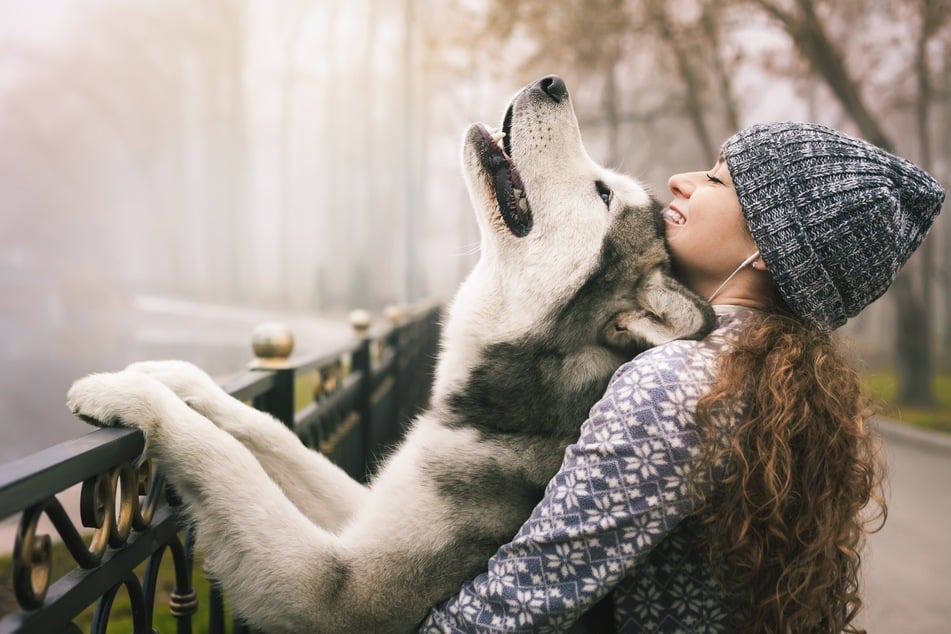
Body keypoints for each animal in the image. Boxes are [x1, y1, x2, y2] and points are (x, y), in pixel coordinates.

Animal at [69, 76, 712, 628]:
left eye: (602, 193)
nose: (554, 82)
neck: (516, 411)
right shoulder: (367, 507)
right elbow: (268, 432)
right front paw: (174, 375)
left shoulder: (339, 592)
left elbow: (223, 458)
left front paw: (130, 397)